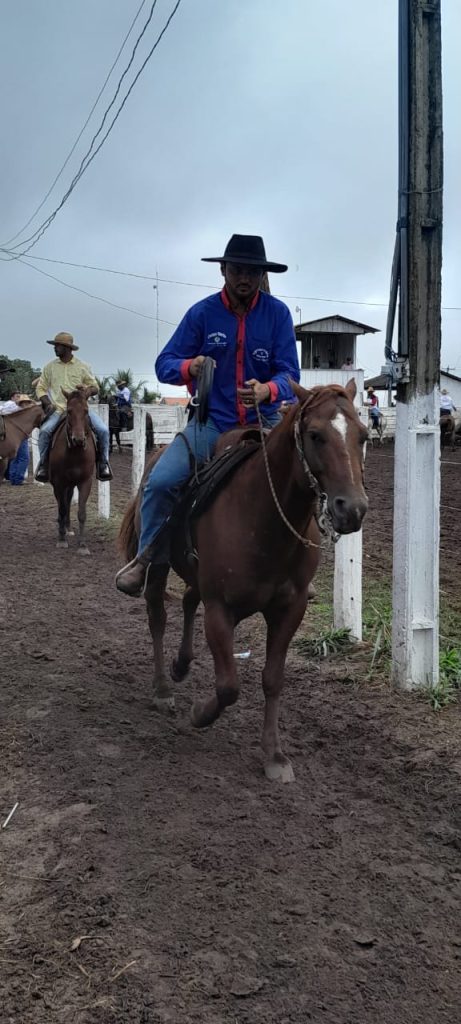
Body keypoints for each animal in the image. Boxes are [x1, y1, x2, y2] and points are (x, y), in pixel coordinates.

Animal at [49, 389, 96, 555]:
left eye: (86, 411)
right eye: (69, 411)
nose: (78, 439)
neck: (75, 453)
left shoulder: (85, 482)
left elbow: (81, 512)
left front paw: (82, 545)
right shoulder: (59, 482)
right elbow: (62, 508)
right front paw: (62, 539)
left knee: (68, 500)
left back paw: (68, 528)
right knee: (62, 504)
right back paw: (63, 528)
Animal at [118, 380, 368, 782]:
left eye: (362, 435)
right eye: (315, 435)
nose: (353, 509)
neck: (262, 519)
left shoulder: (289, 610)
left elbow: (272, 678)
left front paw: (275, 755)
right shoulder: (221, 609)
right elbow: (229, 685)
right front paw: (199, 714)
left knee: (188, 600)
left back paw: (181, 664)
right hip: (157, 567)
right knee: (157, 616)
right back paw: (162, 689)